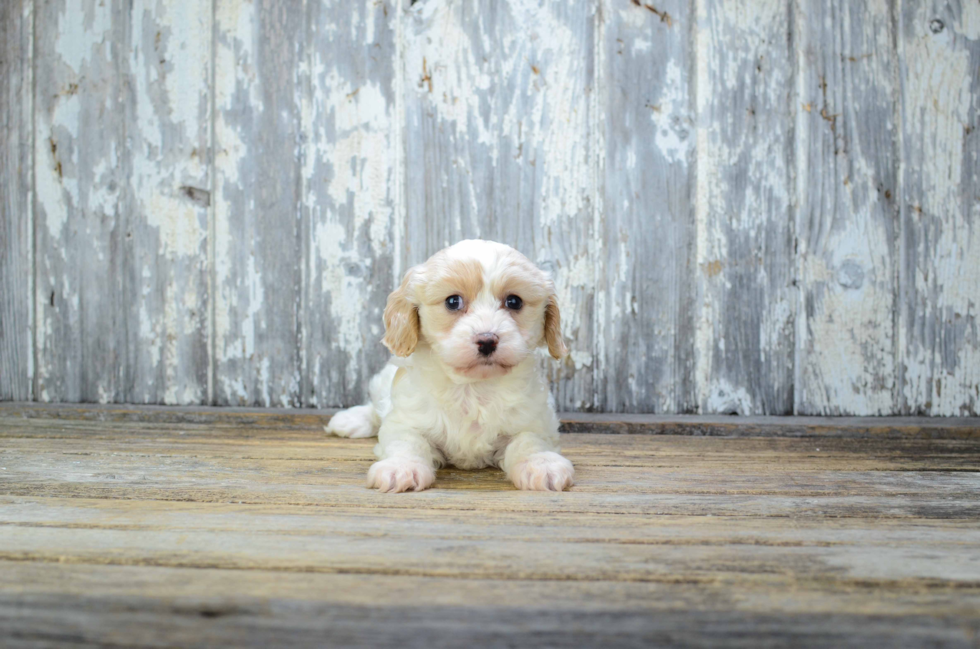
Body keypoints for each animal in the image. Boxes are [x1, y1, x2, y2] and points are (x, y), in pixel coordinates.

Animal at [328, 238, 576, 492]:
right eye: (453, 302)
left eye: (514, 301)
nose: (487, 340)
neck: (473, 387)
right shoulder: (406, 419)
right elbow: (407, 442)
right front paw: (401, 468)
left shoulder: (536, 420)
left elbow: (530, 440)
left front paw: (541, 464)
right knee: (376, 408)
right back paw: (350, 420)